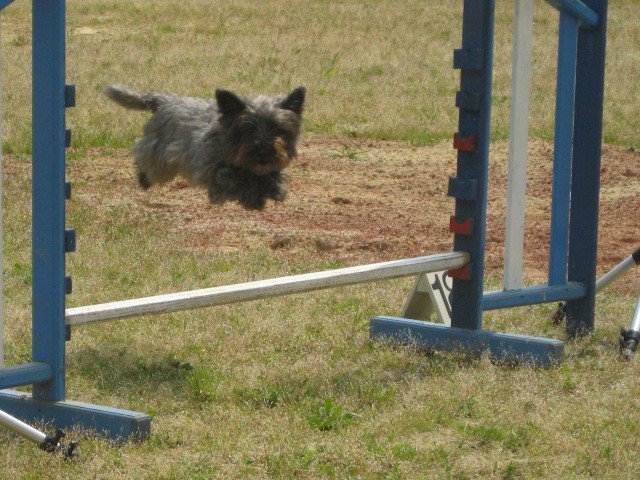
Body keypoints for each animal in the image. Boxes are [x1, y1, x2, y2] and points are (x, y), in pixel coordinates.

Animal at [103, 84, 308, 210]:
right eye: (247, 129)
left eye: (279, 129)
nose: (264, 152)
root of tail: (165, 99)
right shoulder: (208, 170)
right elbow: (234, 179)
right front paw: (253, 197)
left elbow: (275, 178)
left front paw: (275, 188)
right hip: (161, 159)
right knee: (141, 151)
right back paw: (143, 178)